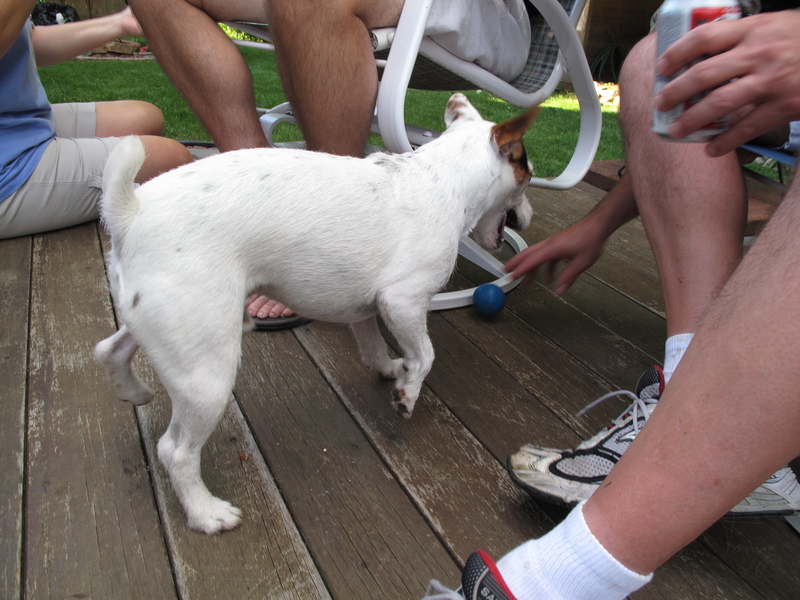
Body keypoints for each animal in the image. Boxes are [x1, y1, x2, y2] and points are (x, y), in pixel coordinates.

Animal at [94, 93, 536, 534]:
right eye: (526, 172)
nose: (528, 216)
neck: (440, 177)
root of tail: (131, 214)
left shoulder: (366, 307)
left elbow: (374, 347)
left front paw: (393, 369)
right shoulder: (403, 300)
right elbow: (425, 354)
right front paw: (408, 392)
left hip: (162, 323)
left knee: (109, 349)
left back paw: (131, 391)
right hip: (206, 373)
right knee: (176, 450)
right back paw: (206, 512)